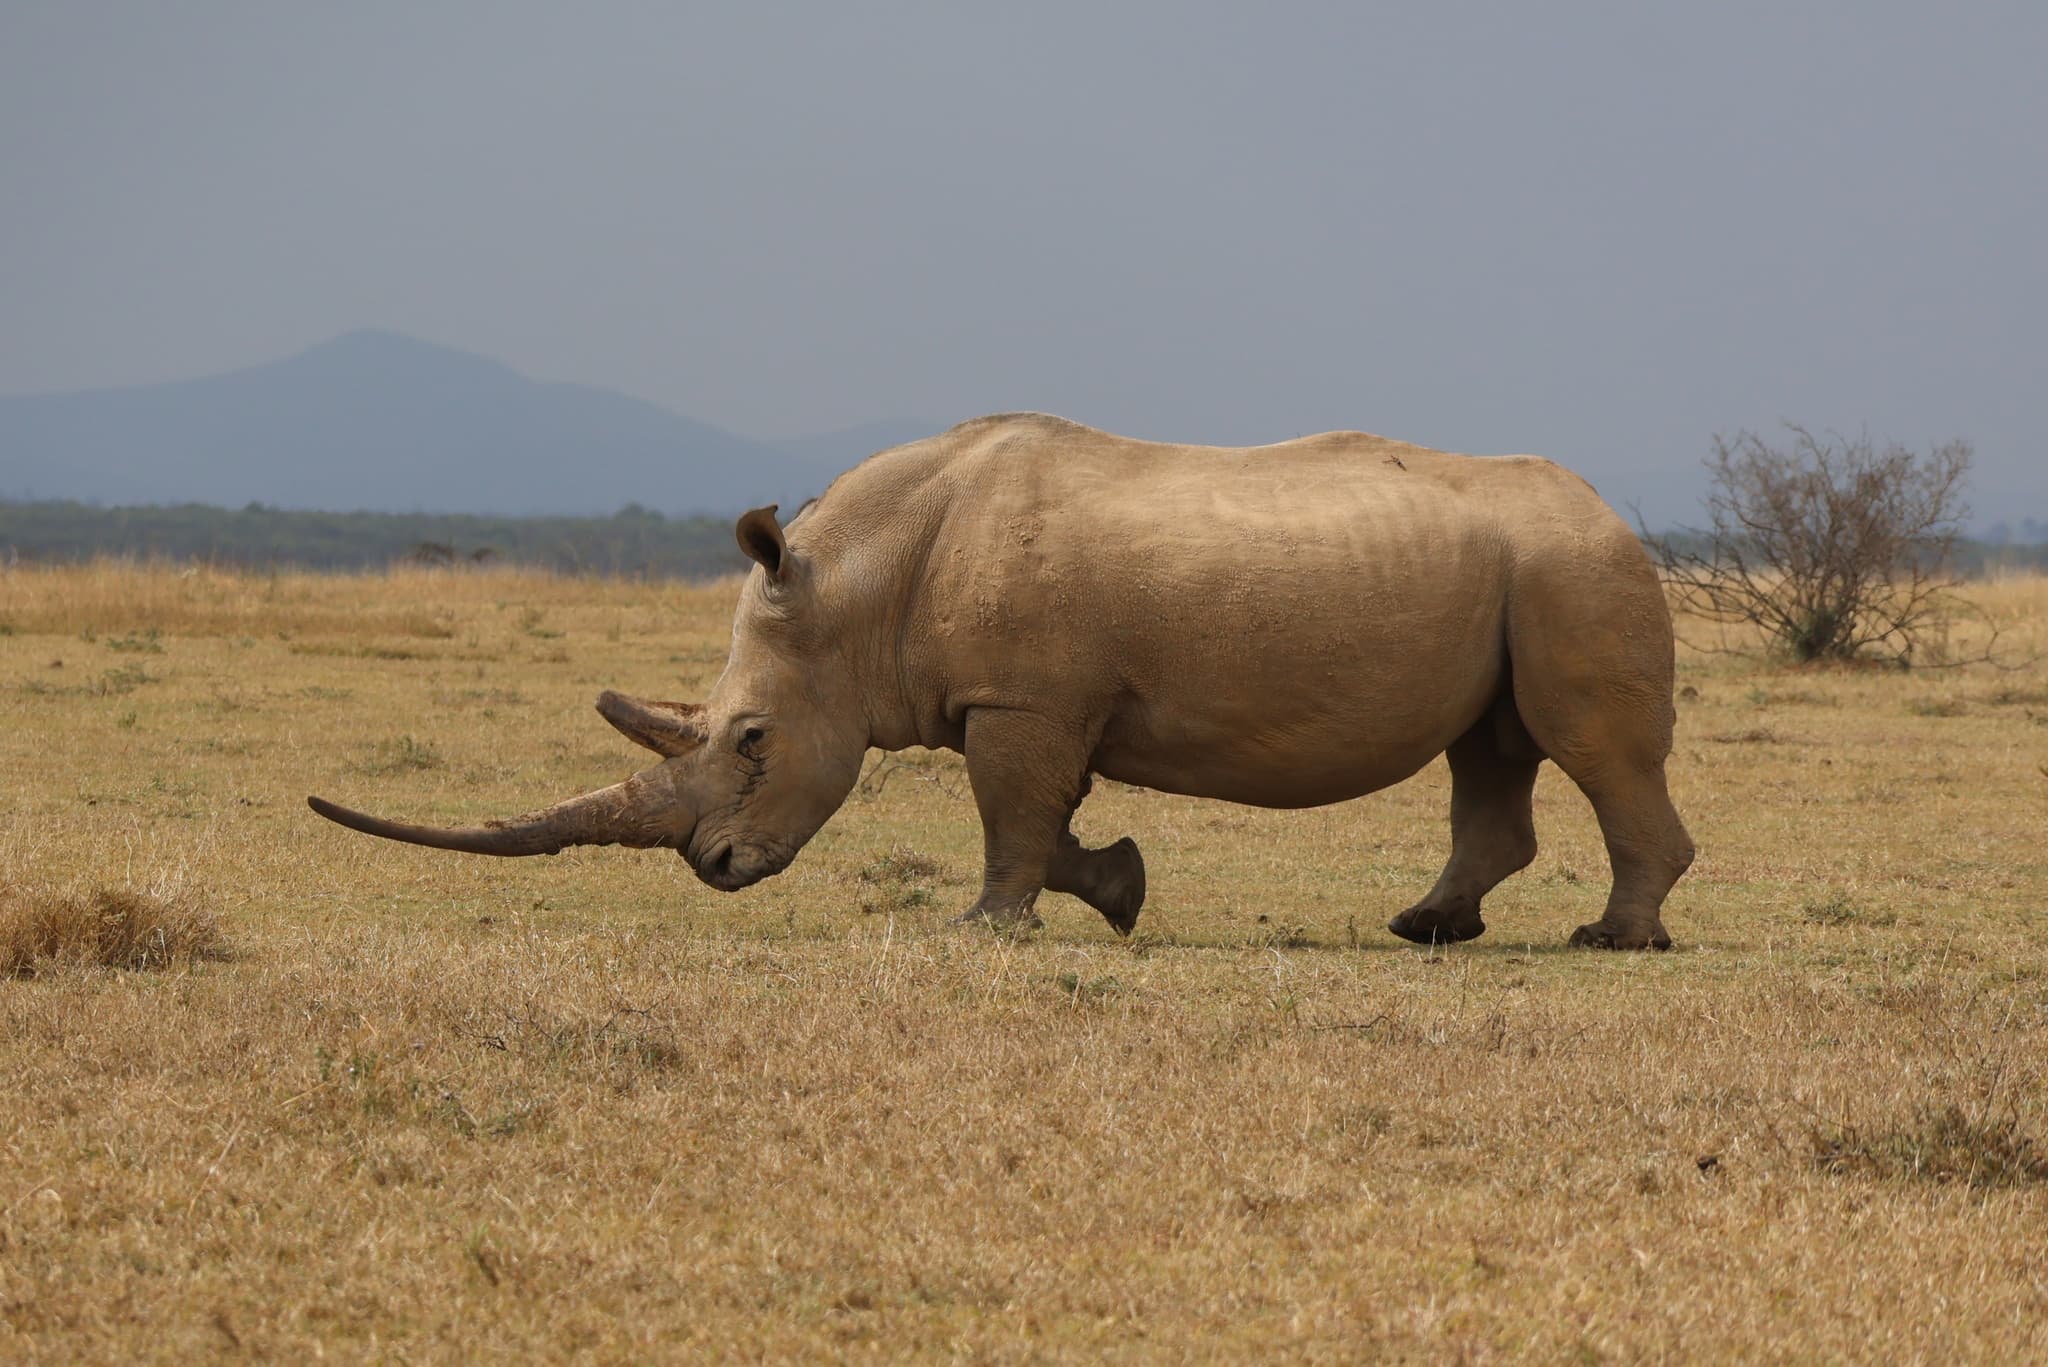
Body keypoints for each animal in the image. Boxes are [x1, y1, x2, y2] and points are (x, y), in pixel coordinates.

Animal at [310, 413, 1693, 949]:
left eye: (751, 739)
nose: (713, 868)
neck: (853, 590)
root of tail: (1613, 509)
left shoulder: (1016, 701)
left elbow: (1010, 813)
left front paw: (981, 928)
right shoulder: (1042, 699)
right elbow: (1053, 816)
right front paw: (1119, 889)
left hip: (1574, 569)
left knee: (1583, 745)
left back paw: (1609, 938)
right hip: (1525, 571)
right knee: (1491, 748)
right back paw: (1425, 927)